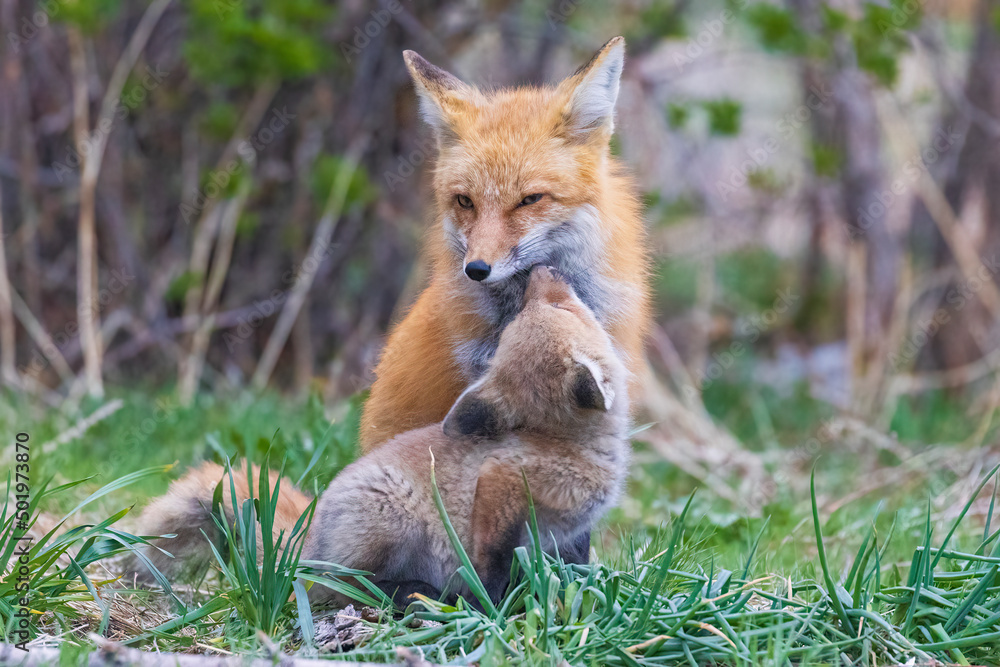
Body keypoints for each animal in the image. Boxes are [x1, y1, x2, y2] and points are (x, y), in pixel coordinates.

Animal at [129, 266, 630, 605]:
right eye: (556, 307)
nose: (539, 271)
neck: (564, 444)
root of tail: (311, 538)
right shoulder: (502, 483)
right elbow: (490, 562)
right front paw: (488, 607)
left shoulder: (567, 536)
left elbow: (573, 569)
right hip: (389, 519)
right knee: (340, 588)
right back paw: (413, 596)